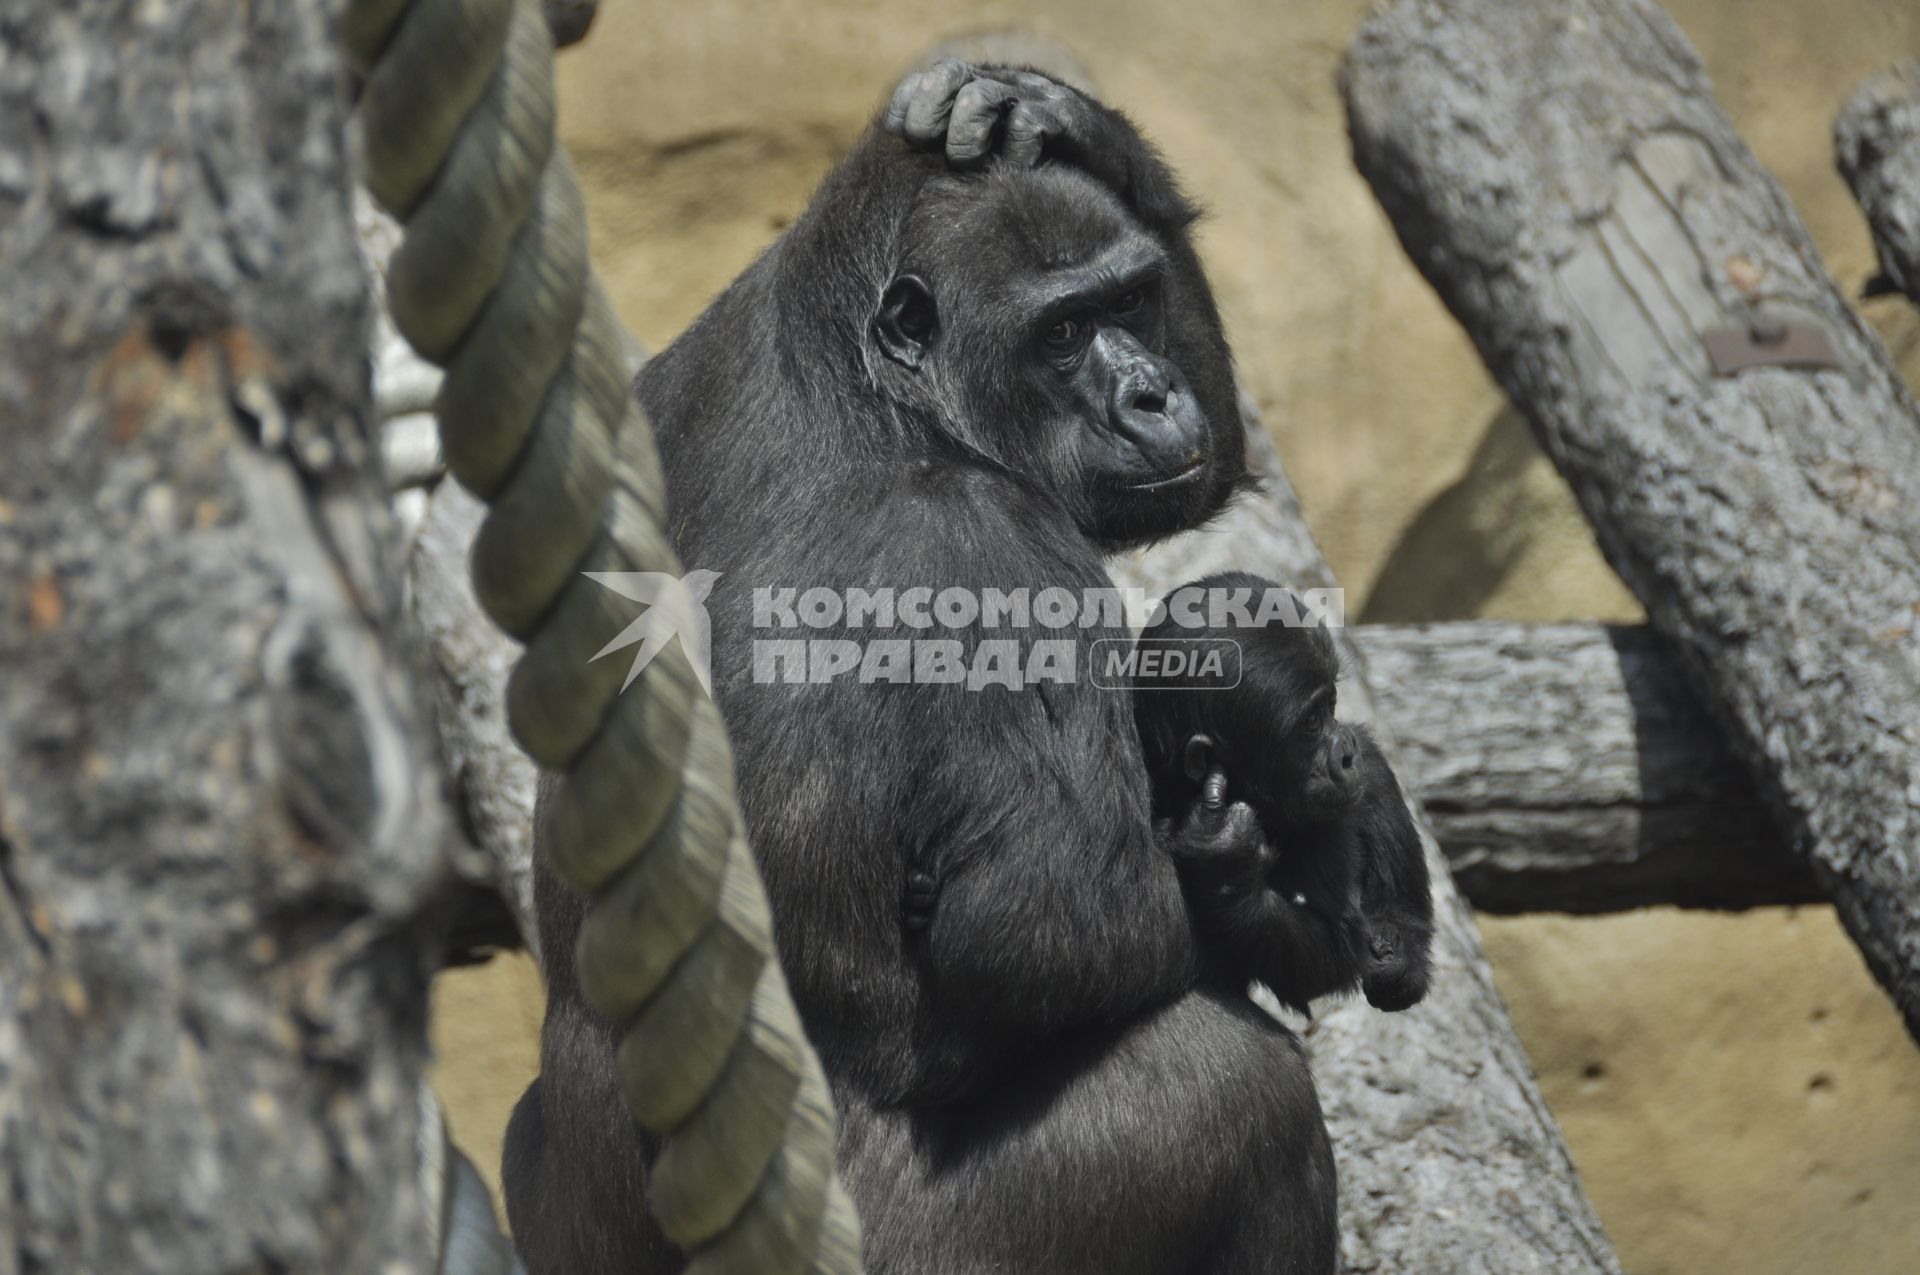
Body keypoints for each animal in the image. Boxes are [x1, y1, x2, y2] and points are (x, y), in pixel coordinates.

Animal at [503, 64, 1336, 1267]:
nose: (1150, 394)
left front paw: (1055, 114)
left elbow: (1220, 453)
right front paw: (1251, 896)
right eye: (1065, 330)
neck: (867, 376)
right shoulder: (985, 547)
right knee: (1237, 1089)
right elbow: (1057, 934)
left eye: (1134, 303)